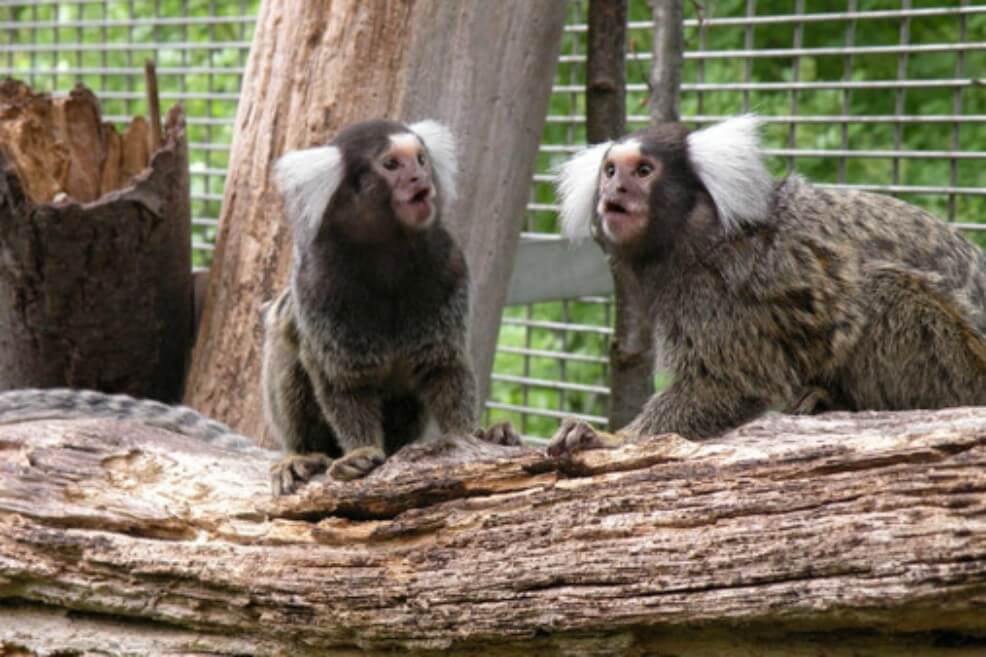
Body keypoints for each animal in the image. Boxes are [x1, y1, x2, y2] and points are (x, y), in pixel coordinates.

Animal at [267, 119, 518, 496]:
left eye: (421, 159)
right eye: (391, 165)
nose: (418, 178)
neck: (386, 252)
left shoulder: (451, 266)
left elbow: (444, 366)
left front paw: (474, 435)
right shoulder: (314, 284)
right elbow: (341, 380)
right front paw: (360, 454)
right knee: (288, 346)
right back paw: (301, 455)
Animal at [547, 114, 986, 457]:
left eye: (643, 171)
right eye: (610, 171)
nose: (616, 189)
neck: (699, 234)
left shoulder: (716, 289)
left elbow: (726, 385)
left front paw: (612, 438)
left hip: (963, 369)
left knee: (884, 288)